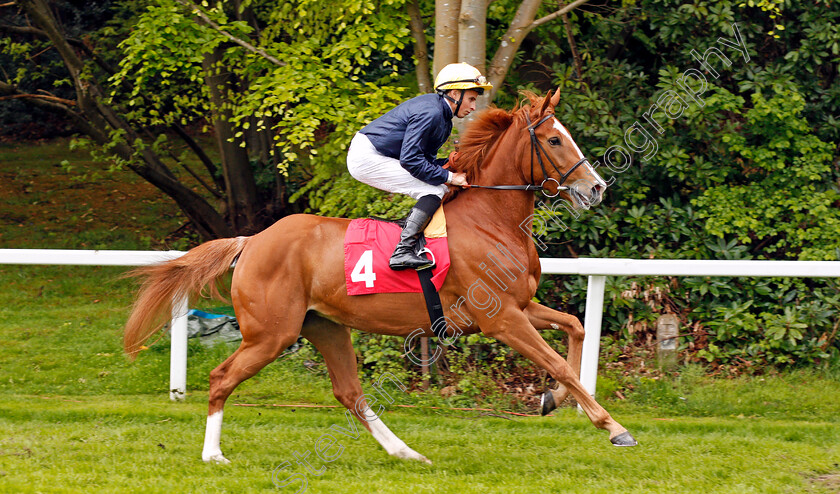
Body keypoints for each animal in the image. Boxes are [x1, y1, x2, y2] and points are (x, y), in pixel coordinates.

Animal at [123, 88, 636, 464]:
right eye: (554, 140)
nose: (596, 188)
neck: (490, 219)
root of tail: (251, 241)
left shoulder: (520, 305)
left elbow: (576, 328)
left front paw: (556, 400)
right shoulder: (502, 319)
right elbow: (558, 362)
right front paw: (613, 427)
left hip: (325, 326)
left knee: (350, 393)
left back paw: (406, 452)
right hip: (271, 333)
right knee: (221, 378)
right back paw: (213, 455)